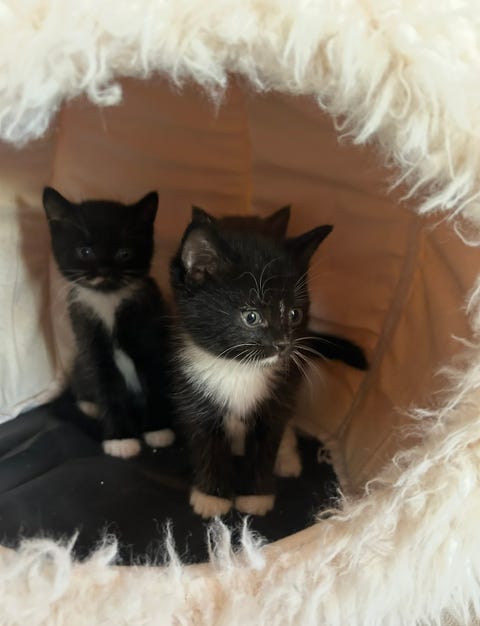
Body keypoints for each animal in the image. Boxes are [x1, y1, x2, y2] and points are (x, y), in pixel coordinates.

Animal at [43, 187, 175, 458]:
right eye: (85, 252)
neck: (108, 300)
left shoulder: (152, 337)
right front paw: (120, 439)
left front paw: (158, 429)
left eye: (124, 253)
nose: (104, 270)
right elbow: (107, 388)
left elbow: (155, 380)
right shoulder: (89, 339)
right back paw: (89, 404)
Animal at [169, 206, 333, 518]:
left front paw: (256, 497)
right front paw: (211, 497)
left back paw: (288, 458)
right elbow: (206, 441)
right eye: (251, 316)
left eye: (294, 314)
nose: (282, 345)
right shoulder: (192, 392)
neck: (239, 368)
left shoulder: (277, 397)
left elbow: (266, 443)